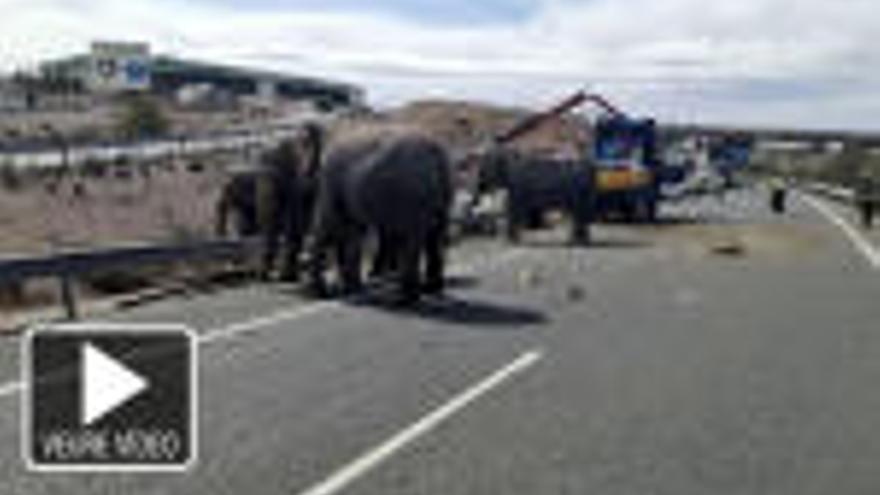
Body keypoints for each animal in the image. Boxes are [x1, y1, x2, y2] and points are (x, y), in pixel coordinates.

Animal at [308, 128, 454, 304]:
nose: (325, 293)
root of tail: (435, 155)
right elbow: (353, 234)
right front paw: (352, 289)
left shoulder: (332, 187)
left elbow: (336, 228)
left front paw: (349, 290)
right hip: (442, 194)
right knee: (434, 236)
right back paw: (430, 290)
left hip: (412, 195)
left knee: (413, 240)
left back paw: (405, 299)